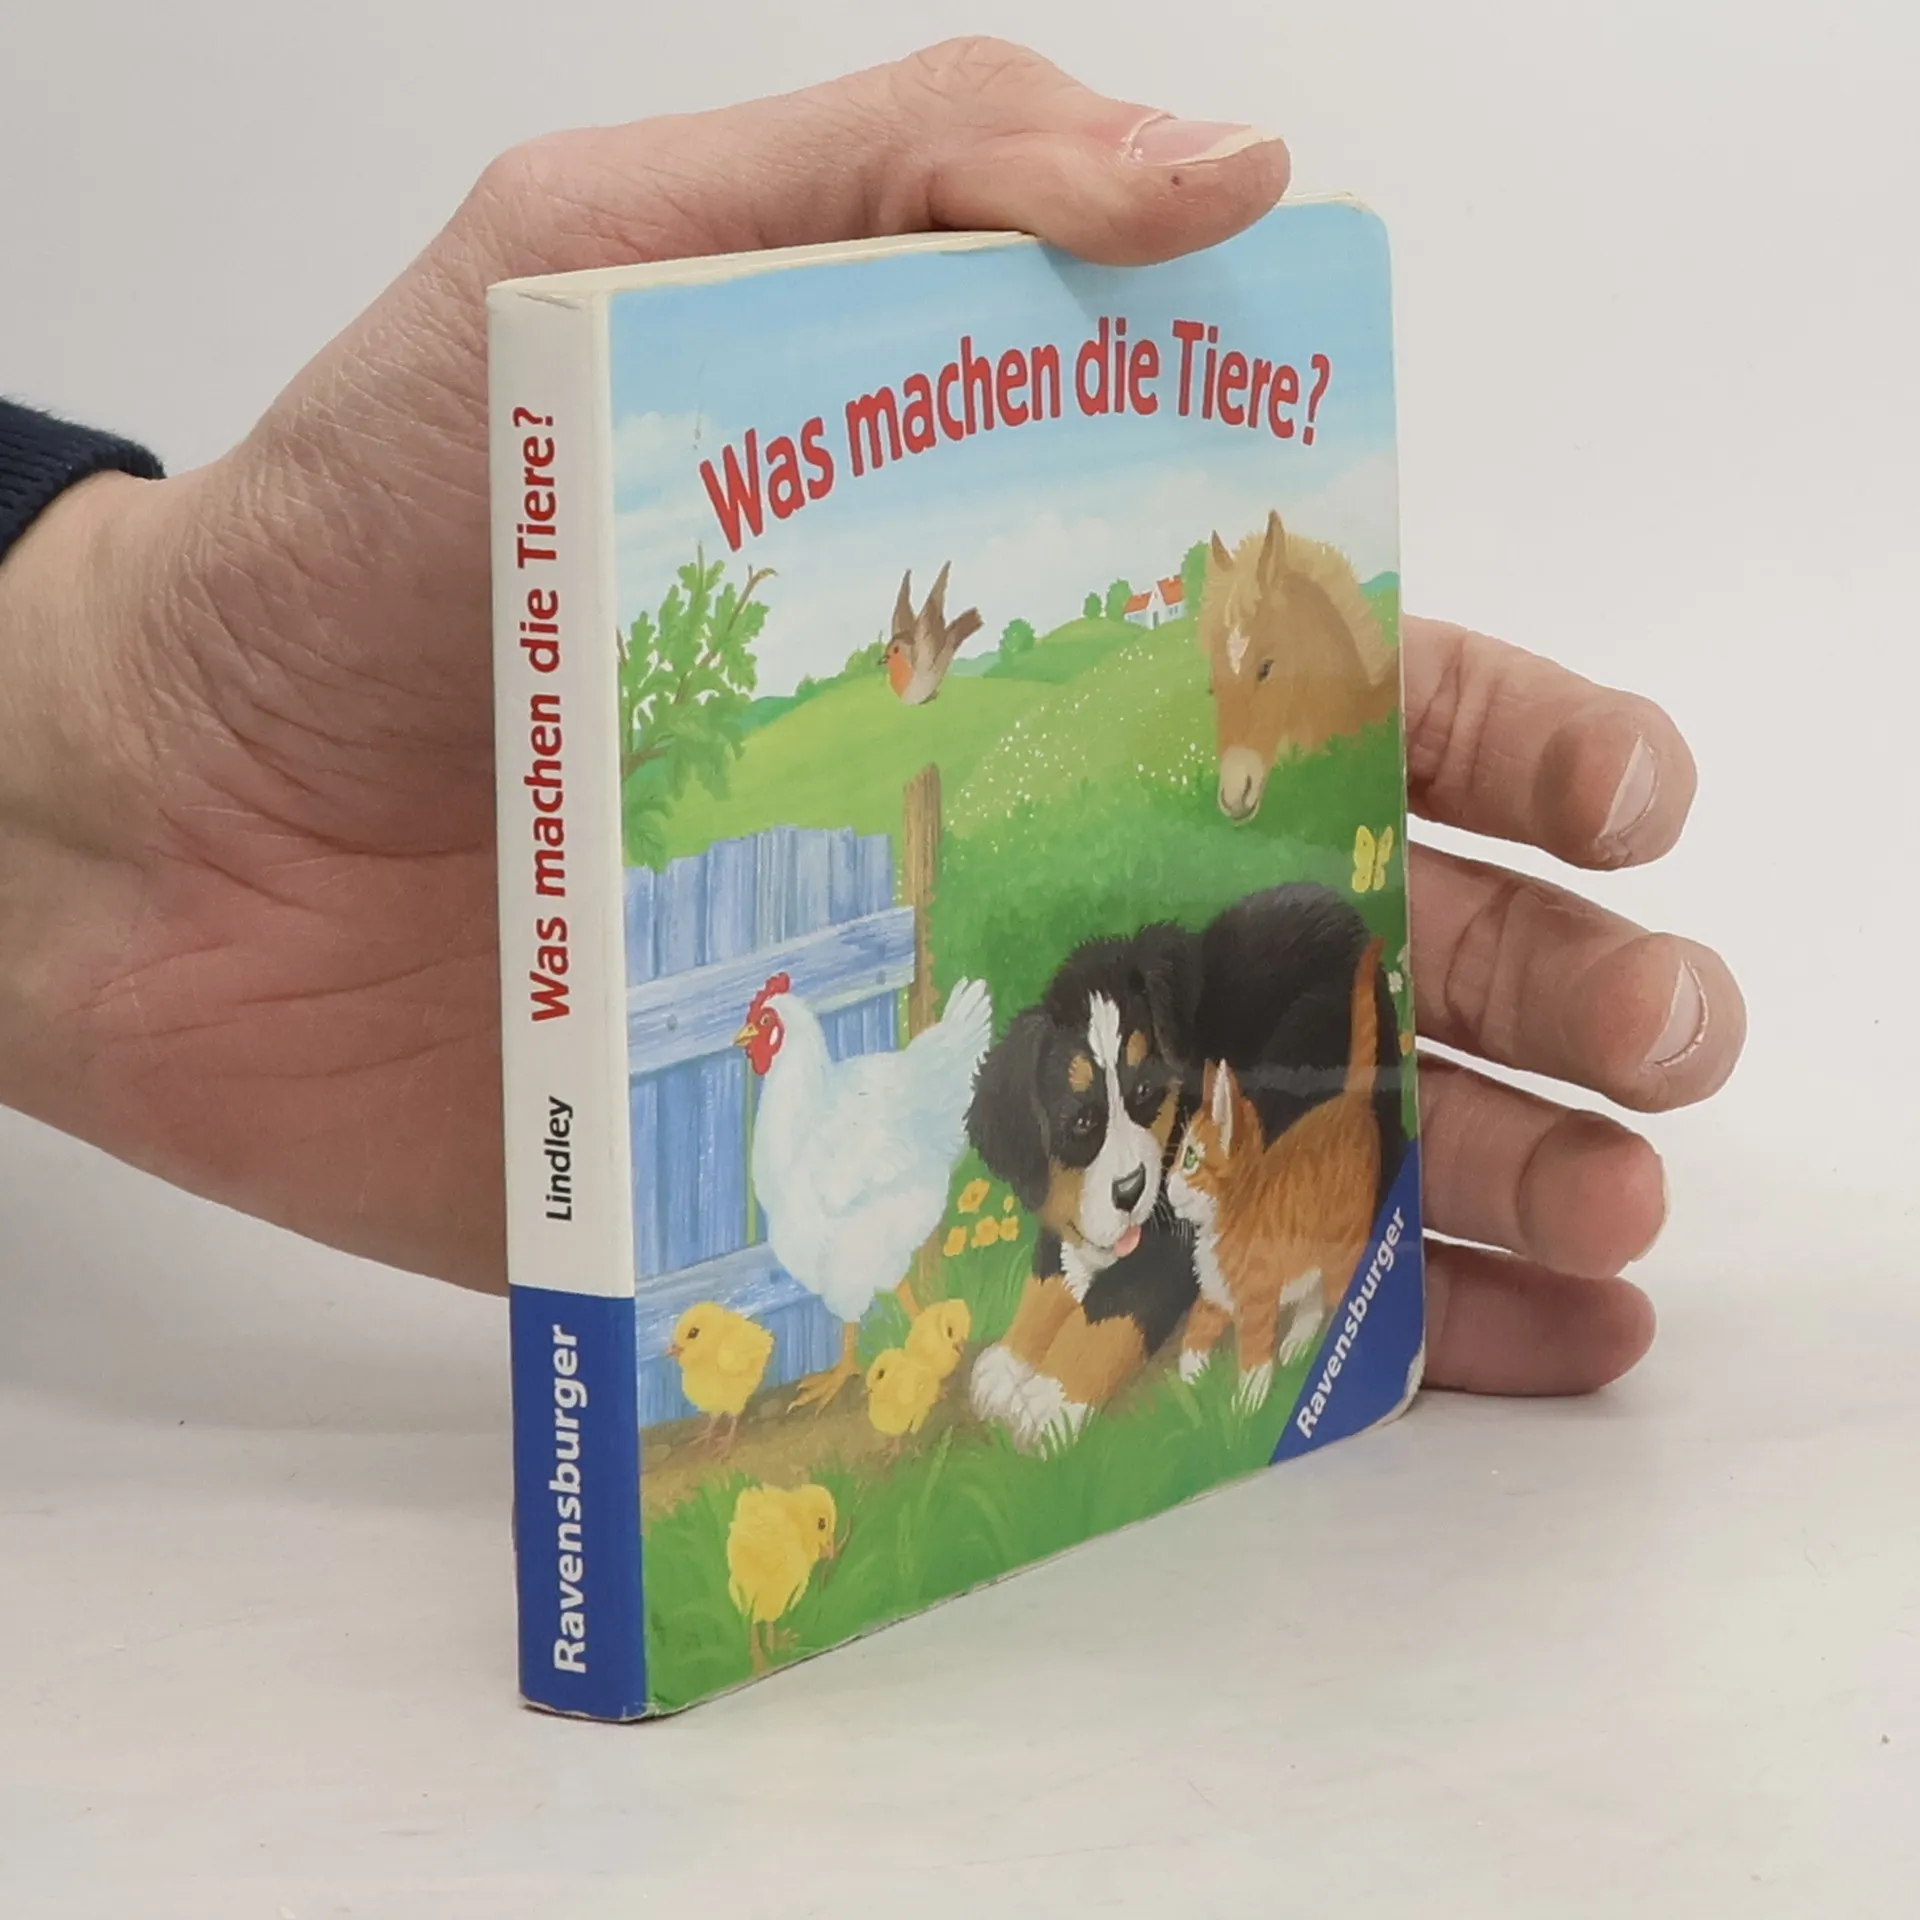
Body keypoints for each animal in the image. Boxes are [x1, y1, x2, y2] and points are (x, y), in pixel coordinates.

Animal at [1166, 937, 1385, 1411]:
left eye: (1190, 1160)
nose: (1167, 1186)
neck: (1226, 1220)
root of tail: (1350, 1101)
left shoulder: (1255, 1299)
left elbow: (1252, 1347)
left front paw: (1247, 1402)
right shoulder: (1216, 1294)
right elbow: (1195, 1330)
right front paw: (1192, 1380)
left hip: (1342, 1237)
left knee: (1335, 1292)